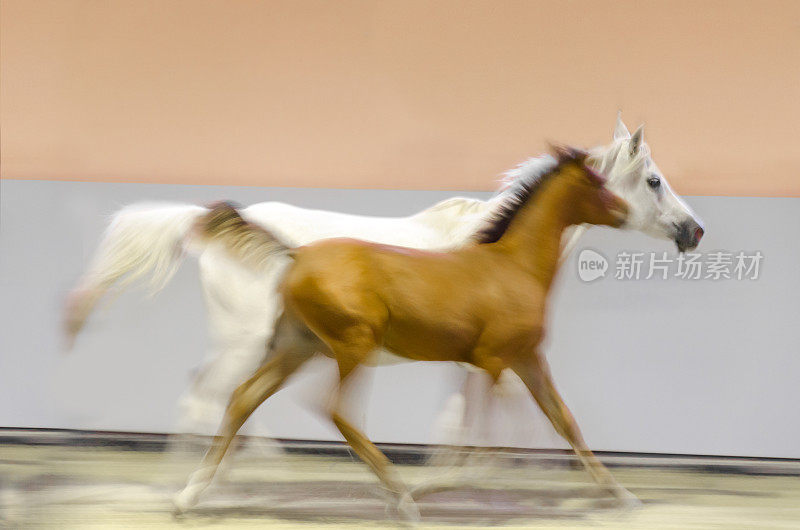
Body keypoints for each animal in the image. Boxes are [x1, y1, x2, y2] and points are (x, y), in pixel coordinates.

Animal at [64, 117, 700, 452]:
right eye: (653, 180)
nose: (694, 231)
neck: (495, 250)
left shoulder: (478, 355)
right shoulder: (485, 354)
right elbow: (468, 423)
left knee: (215, 397)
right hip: (249, 340)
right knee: (209, 397)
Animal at [173, 147, 636, 516]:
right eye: (596, 183)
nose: (625, 212)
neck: (513, 267)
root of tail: (298, 254)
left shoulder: (526, 358)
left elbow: (563, 420)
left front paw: (621, 494)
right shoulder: (491, 361)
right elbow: (486, 435)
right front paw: (441, 485)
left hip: (298, 347)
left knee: (242, 397)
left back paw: (190, 494)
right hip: (353, 345)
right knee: (336, 411)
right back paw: (401, 496)